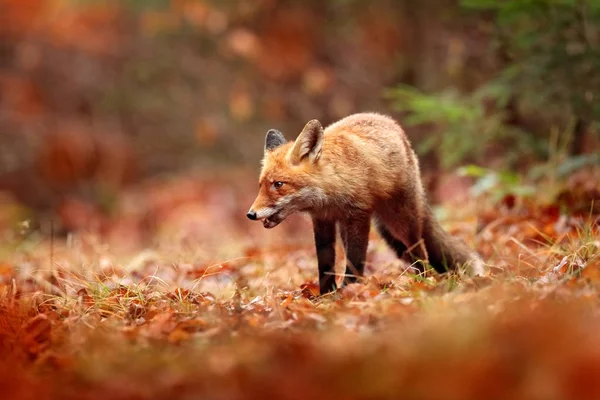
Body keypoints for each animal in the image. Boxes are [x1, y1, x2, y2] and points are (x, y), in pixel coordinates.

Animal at [246, 112, 486, 294]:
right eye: (260, 185)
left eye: (278, 184)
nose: (251, 214)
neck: (330, 194)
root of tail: (392, 124)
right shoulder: (322, 220)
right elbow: (325, 264)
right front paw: (326, 295)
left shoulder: (358, 215)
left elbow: (355, 259)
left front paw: (347, 291)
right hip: (383, 232)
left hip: (402, 222)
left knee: (420, 249)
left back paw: (426, 280)